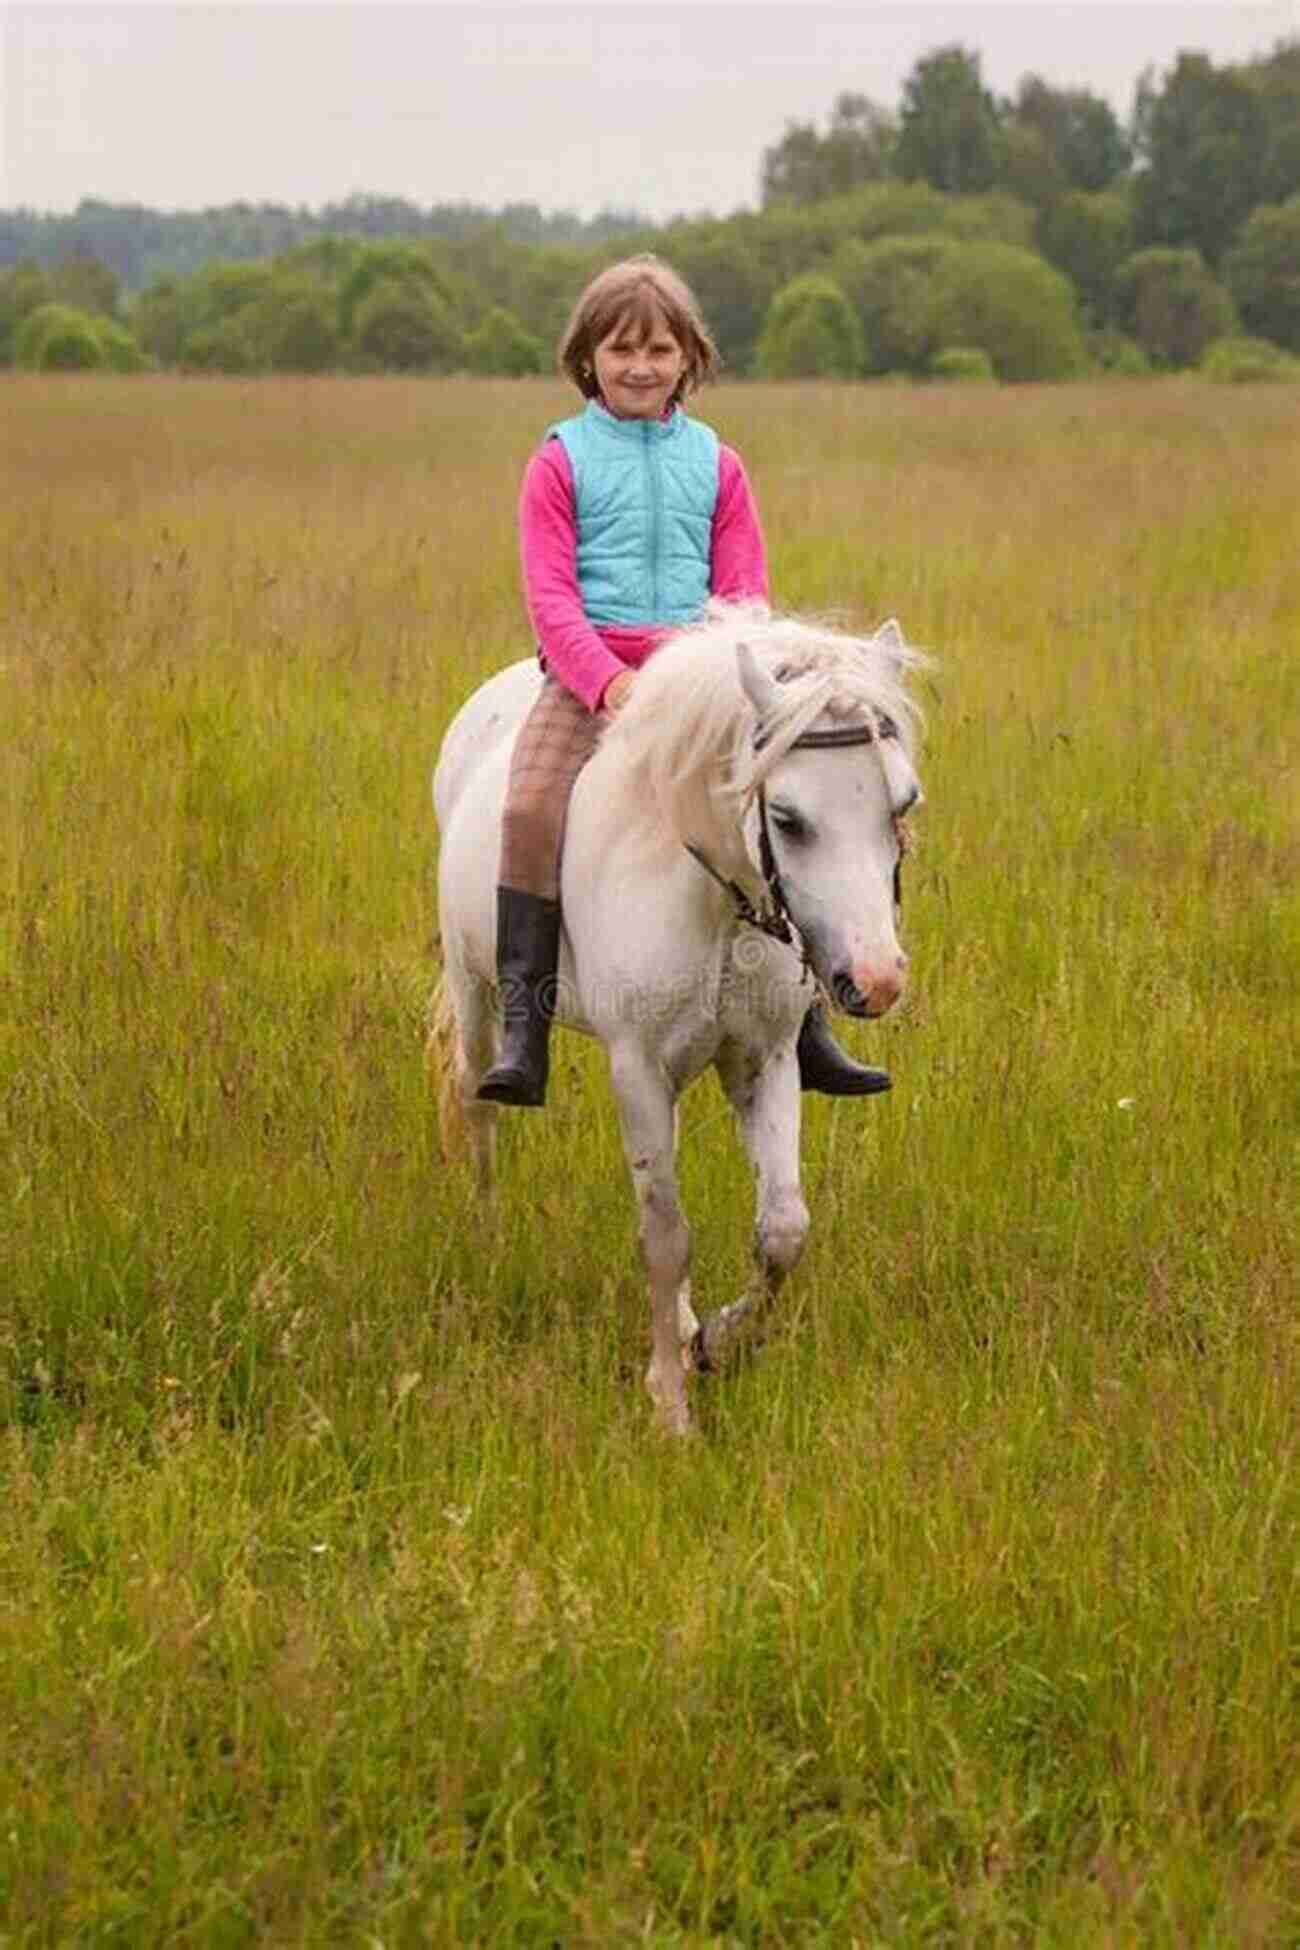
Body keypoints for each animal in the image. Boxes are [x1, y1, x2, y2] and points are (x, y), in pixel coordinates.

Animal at [434, 600, 923, 1443]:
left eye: (901, 804)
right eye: (788, 818)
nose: (876, 981)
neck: (713, 896)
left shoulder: (766, 1059)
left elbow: (782, 1228)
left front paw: (715, 1346)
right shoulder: (637, 1067)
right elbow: (665, 1235)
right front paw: (670, 1404)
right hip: (475, 992)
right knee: (476, 1104)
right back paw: (488, 1235)